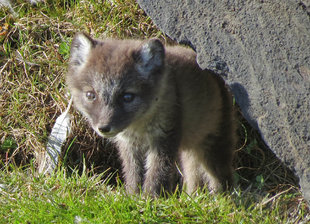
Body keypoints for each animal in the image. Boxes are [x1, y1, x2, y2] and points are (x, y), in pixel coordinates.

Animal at [66, 32, 236, 196]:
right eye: (90, 95)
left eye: (127, 96)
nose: (103, 128)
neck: (139, 126)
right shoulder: (129, 144)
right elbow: (133, 173)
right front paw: (133, 196)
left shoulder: (164, 137)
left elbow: (157, 173)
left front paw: (150, 198)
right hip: (190, 151)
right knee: (193, 178)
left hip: (214, 143)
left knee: (221, 178)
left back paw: (221, 200)